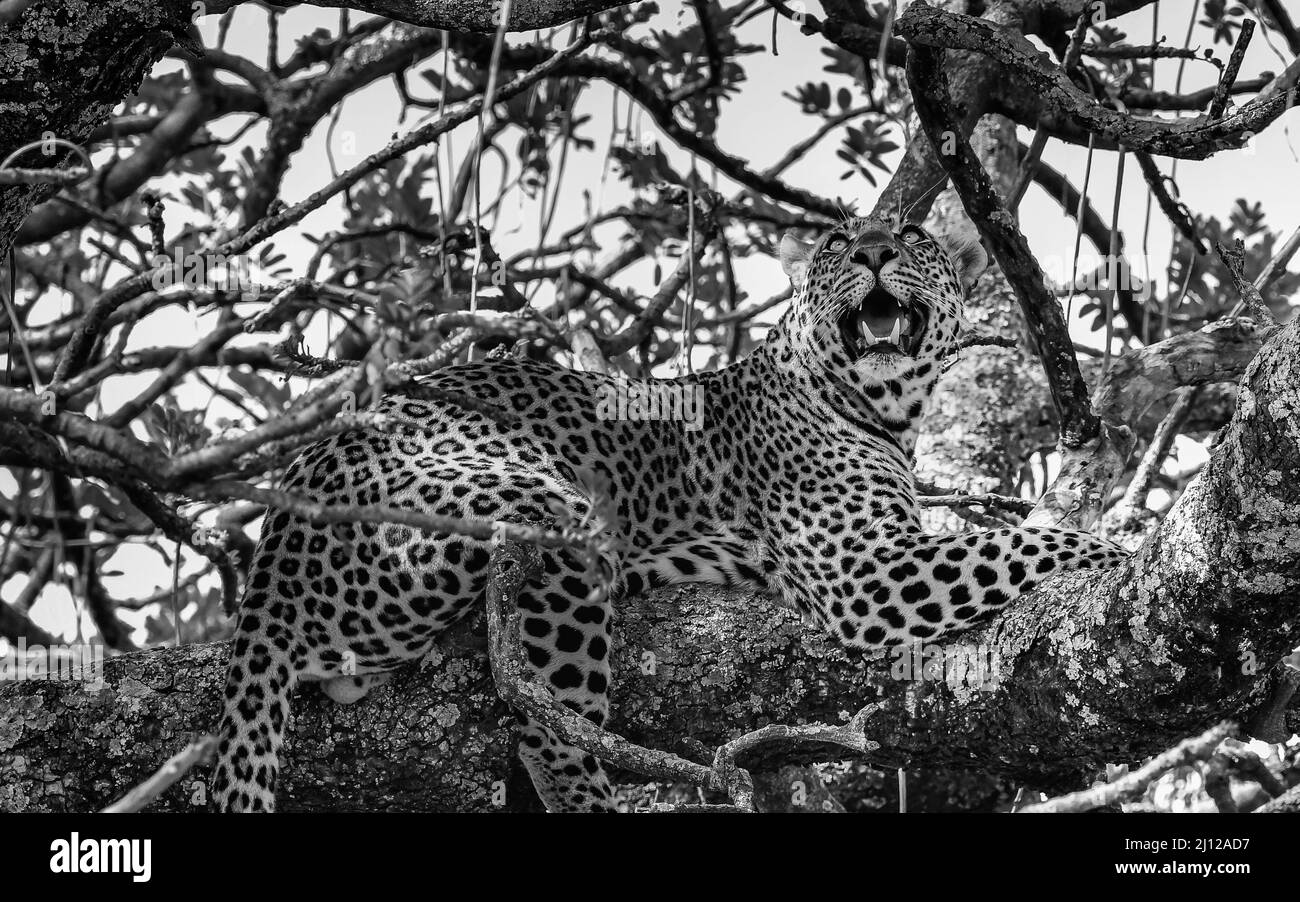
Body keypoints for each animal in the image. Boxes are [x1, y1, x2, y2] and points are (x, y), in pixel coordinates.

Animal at [210, 215, 1128, 816]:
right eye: (837, 243)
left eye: (912, 236)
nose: (873, 252)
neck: (885, 410)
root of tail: (278, 543)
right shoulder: (864, 573)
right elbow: (1024, 543)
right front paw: (1121, 557)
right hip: (548, 517)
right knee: (552, 733)